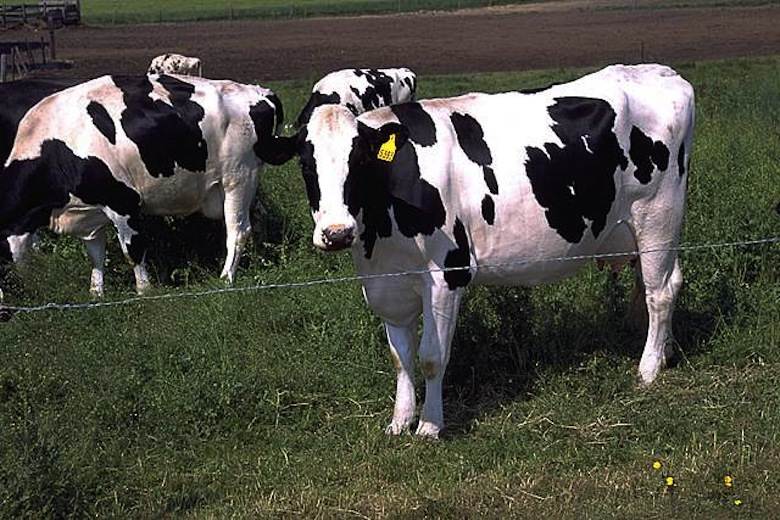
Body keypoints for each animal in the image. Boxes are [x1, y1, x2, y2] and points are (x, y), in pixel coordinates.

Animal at [0, 74, 294, 296]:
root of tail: (258, 91)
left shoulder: (123, 202)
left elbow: (132, 250)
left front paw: (144, 291)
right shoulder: (89, 212)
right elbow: (95, 254)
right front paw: (96, 294)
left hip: (238, 178)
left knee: (237, 231)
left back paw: (226, 278)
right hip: (249, 184)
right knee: (258, 220)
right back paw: (260, 259)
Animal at [295, 64, 695, 438]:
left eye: (359, 160)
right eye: (305, 165)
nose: (337, 233)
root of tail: (662, 72)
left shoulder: (448, 272)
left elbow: (431, 357)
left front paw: (429, 427)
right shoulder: (386, 280)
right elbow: (401, 358)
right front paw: (400, 421)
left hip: (658, 215)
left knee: (659, 292)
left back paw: (647, 369)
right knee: (663, 283)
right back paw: (664, 352)